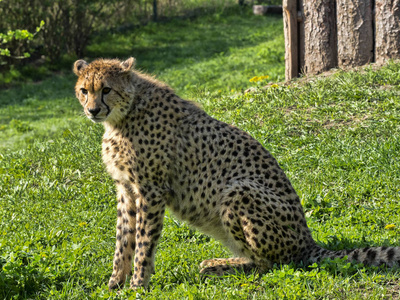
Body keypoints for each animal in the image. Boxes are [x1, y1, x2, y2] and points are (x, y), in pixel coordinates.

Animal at [73, 57, 400, 290]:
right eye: (84, 91)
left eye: (106, 89)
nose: (92, 110)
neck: (123, 115)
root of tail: (308, 242)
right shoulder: (126, 190)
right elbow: (122, 241)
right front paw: (114, 284)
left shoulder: (151, 191)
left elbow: (143, 242)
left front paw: (139, 284)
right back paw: (218, 262)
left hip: (238, 191)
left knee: (271, 264)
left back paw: (221, 267)